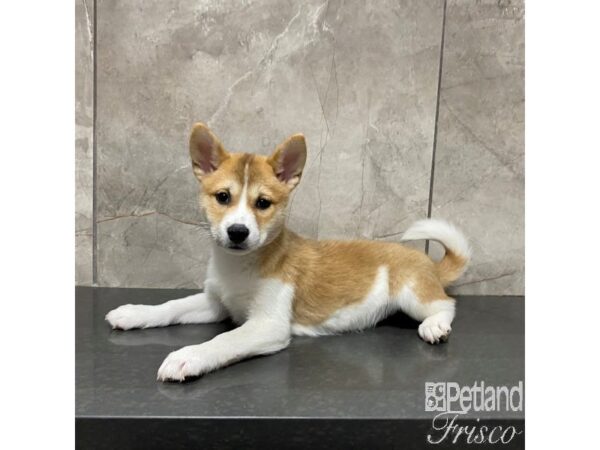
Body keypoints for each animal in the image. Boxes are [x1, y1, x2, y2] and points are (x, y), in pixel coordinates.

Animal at [105, 121, 472, 382]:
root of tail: (428, 263)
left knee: (446, 305)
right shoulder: (216, 304)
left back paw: (435, 327)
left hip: (412, 294)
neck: (242, 267)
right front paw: (135, 313)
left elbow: (224, 341)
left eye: (263, 203)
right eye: (223, 197)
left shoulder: (267, 325)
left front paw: (189, 356)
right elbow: (172, 306)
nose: (237, 232)